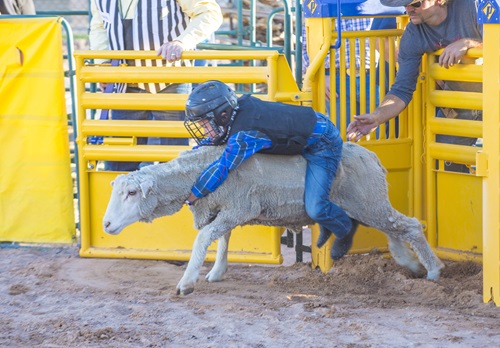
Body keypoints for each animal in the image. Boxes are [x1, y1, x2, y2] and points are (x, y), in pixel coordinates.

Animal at [103, 143, 444, 294]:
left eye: (131, 193)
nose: (106, 224)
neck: (202, 169)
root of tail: (372, 156)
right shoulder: (228, 208)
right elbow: (223, 238)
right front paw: (217, 272)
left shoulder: (238, 207)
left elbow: (203, 238)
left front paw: (187, 282)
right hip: (369, 204)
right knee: (395, 230)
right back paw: (410, 263)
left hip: (368, 201)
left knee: (409, 226)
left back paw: (433, 270)